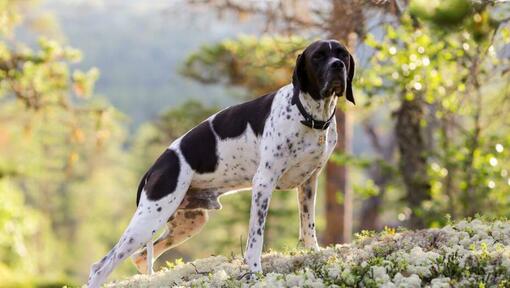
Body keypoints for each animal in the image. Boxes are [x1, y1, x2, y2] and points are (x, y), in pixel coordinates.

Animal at [86, 39, 354, 286]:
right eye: (318, 56)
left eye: (342, 54)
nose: (338, 66)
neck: (307, 115)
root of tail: (154, 168)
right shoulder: (263, 184)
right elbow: (255, 238)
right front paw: (254, 272)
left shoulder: (309, 183)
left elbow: (308, 226)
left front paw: (314, 254)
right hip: (150, 219)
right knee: (101, 266)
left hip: (187, 223)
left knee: (140, 258)